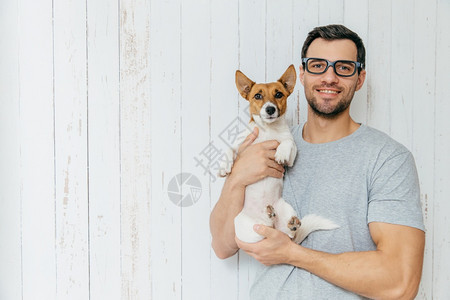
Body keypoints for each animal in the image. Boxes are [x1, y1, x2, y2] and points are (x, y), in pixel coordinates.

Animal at [218, 65, 338, 244]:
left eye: (279, 94)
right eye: (258, 95)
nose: (270, 109)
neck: (269, 130)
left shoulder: (291, 154)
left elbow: (287, 142)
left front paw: (280, 153)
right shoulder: (240, 143)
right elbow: (228, 149)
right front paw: (224, 167)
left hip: (286, 208)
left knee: (285, 232)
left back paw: (288, 223)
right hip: (245, 229)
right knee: (263, 229)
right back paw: (268, 216)